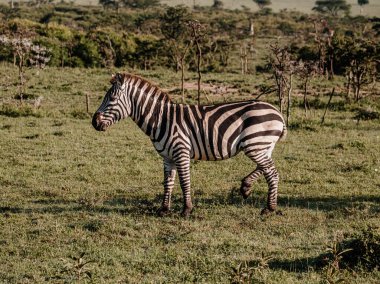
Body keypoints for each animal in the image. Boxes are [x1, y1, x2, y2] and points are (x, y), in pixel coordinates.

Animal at [93, 74, 288, 217]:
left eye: (111, 98)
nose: (94, 122)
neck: (161, 119)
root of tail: (277, 112)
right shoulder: (167, 157)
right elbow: (168, 183)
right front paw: (163, 209)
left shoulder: (181, 151)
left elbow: (184, 181)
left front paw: (186, 209)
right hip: (263, 146)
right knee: (265, 168)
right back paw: (246, 187)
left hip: (255, 145)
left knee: (272, 173)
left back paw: (269, 208)